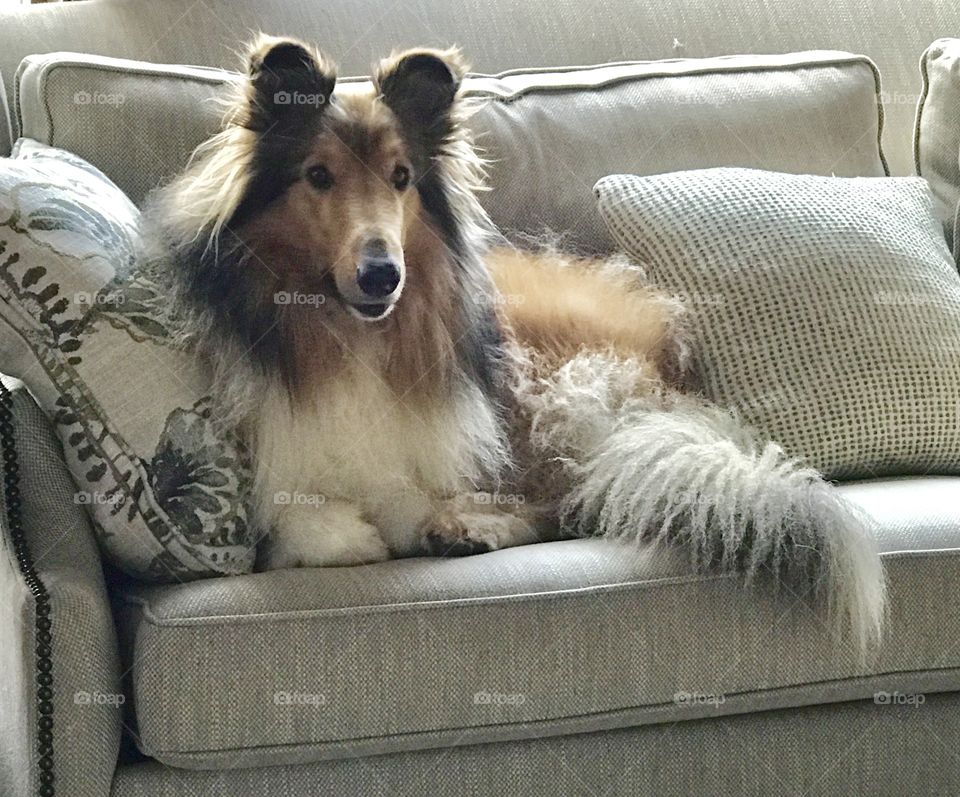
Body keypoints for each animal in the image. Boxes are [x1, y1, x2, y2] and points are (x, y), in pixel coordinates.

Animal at [146, 35, 888, 648]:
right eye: (318, 175)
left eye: (401, 177)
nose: (384, 273)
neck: (347, 332)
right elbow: (306, 519)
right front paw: (344, 530)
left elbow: (410, 498)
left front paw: (429, 519)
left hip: (550, 379)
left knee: (575, 499)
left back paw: (473, 527)